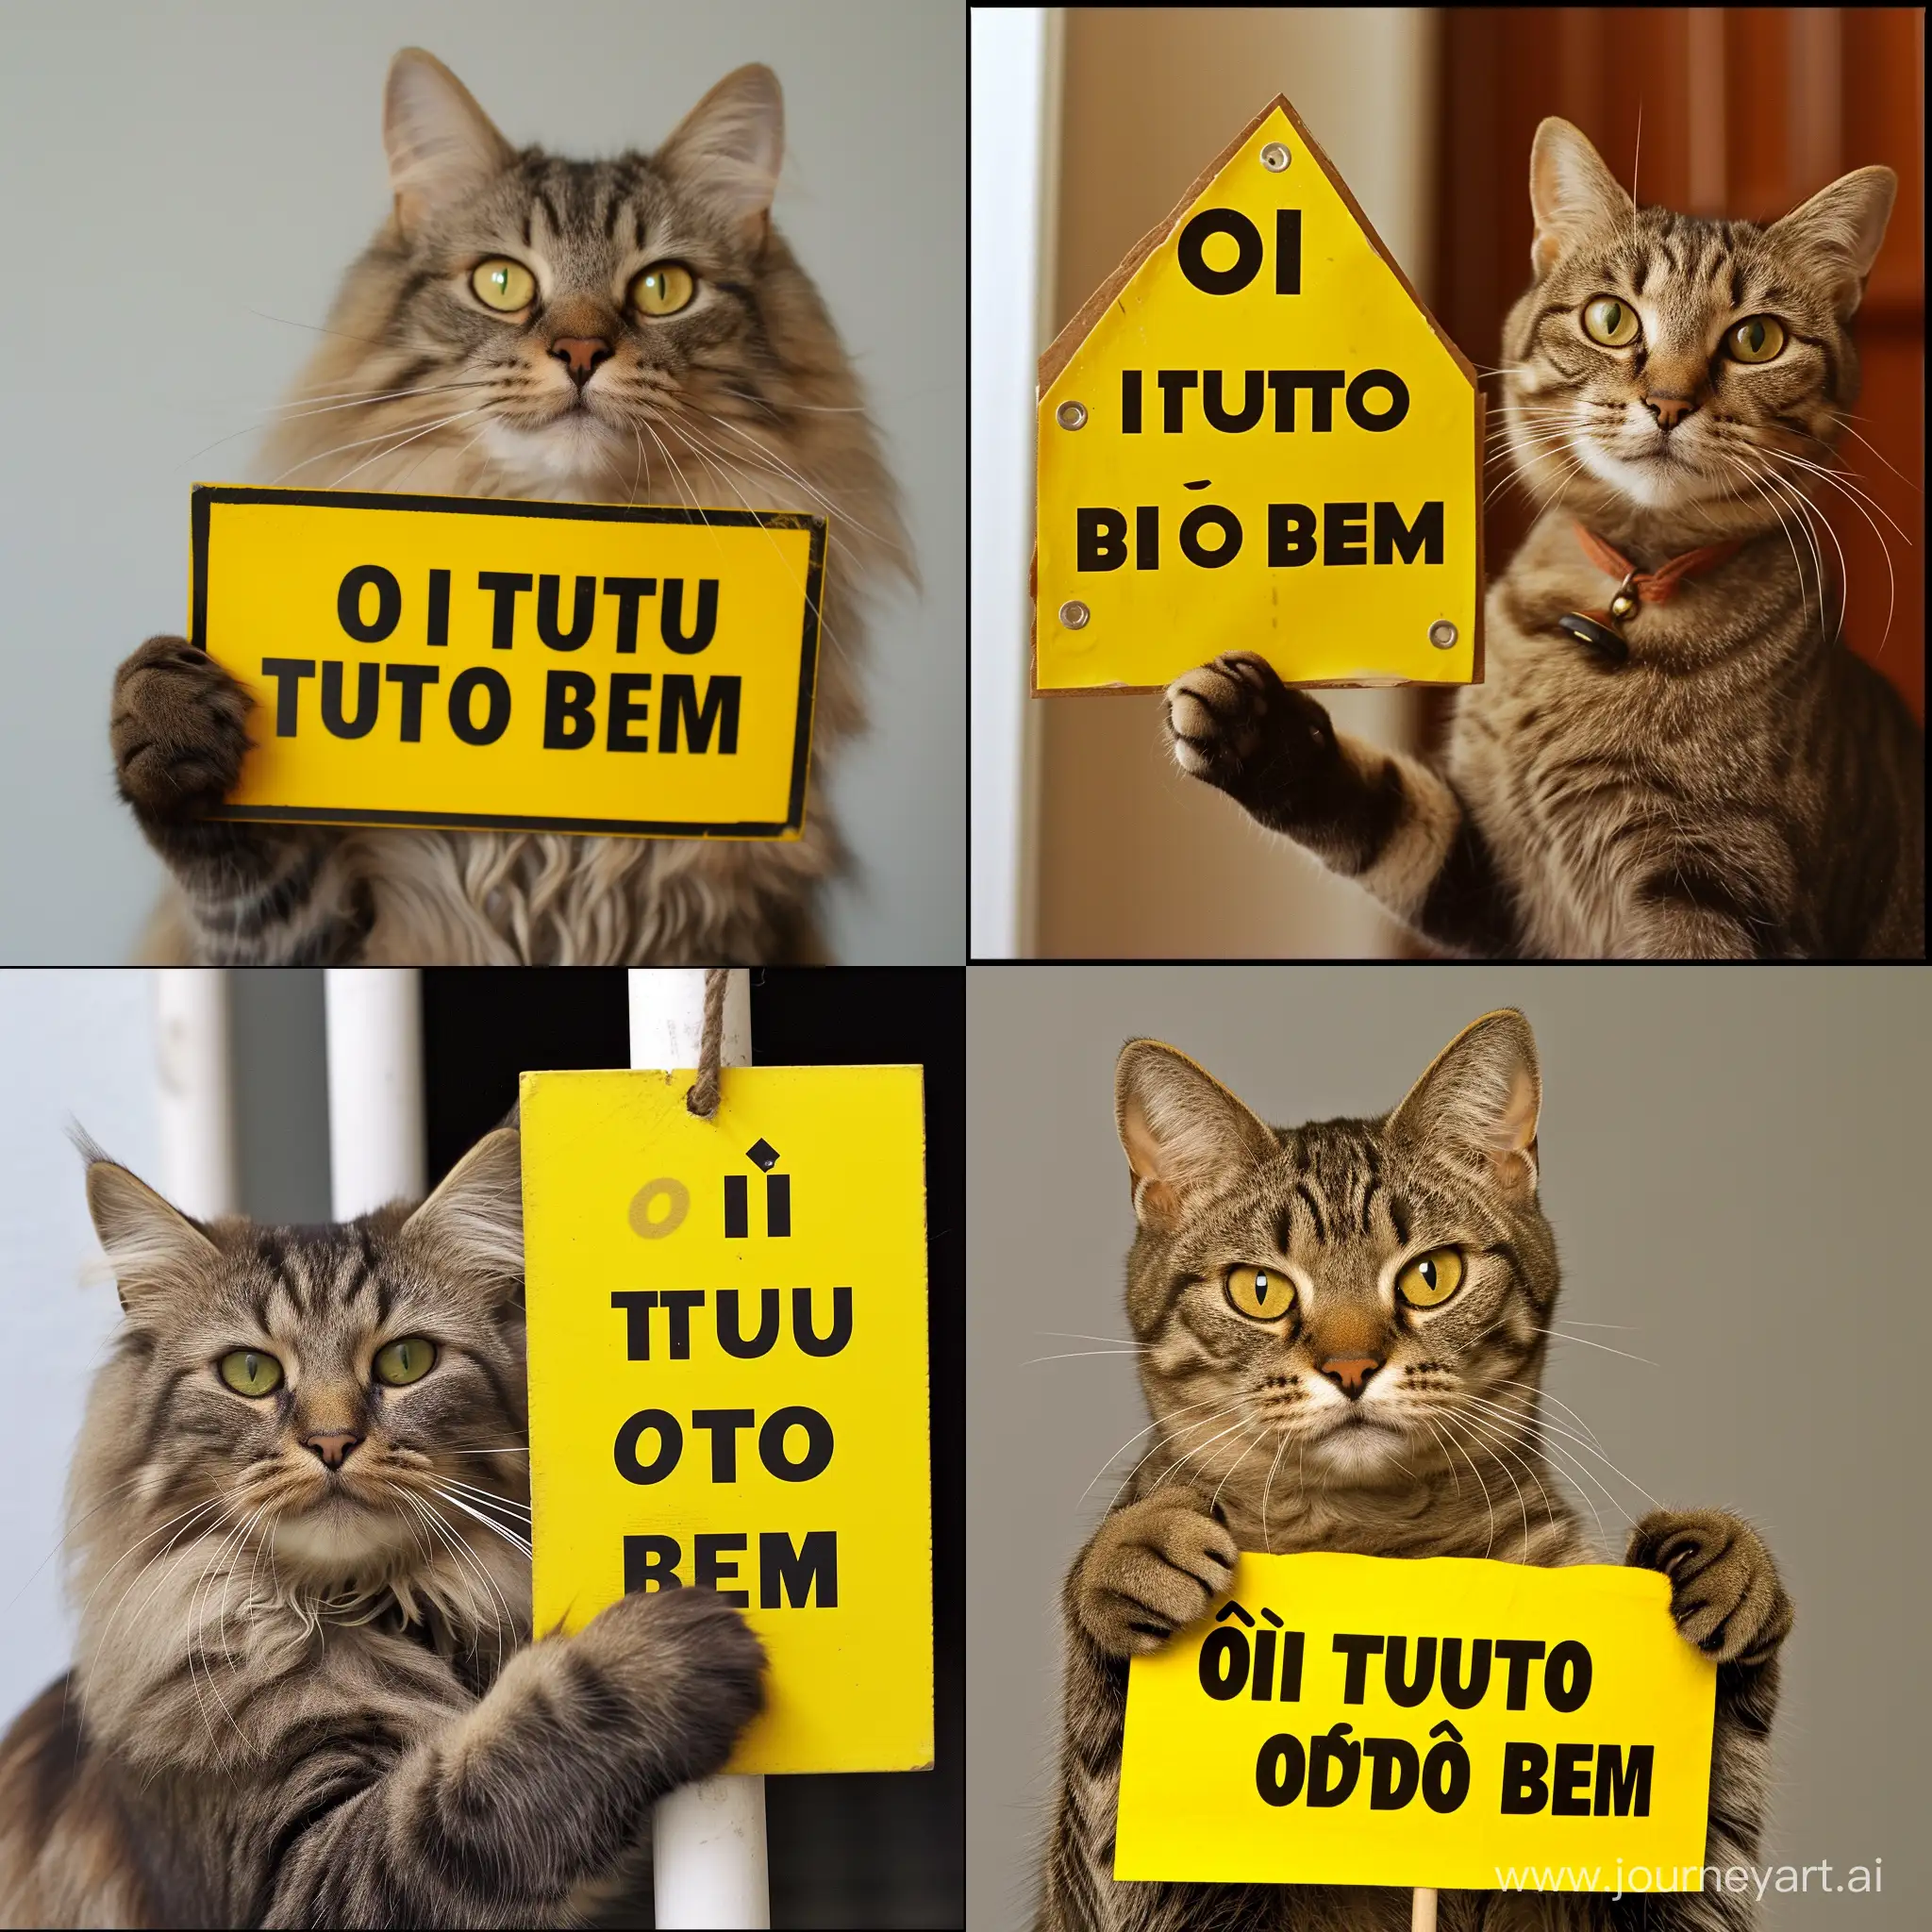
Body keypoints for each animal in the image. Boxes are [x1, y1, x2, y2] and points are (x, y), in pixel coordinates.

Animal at [0, 1128, 765, 1924]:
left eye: (406, 1360)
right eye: (249, 1373)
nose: (332, 1442)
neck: (369, 1610)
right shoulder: (296, 1874)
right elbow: (468, 1790)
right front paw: (660, 1648)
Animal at [109, 51, 908, 966]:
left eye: (664, 288)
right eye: (501, 281)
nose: (581, 351)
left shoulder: (732, 924)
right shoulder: (313, 937)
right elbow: (236, 867)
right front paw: (167, 708)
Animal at [1042, 1012, 1792, 1932]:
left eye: (1432, 1276)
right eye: (1259, 1289)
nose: (1352, 1365)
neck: (1380, 1544)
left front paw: (1723, 1560)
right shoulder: (1132, 1895)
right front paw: (1126, 1561)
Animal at [1158, 116, 1916, 961]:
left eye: (1757, 339)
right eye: (1611, 319)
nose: (1669, 402)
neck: (1626, 596)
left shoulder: (1716, 891)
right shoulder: (1494, 874)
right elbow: (1387, 814)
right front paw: (1255, 729)